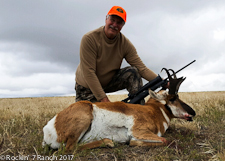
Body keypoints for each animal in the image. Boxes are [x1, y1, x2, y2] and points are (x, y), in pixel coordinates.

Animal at [42, 68, 195, 151]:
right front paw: (131, 142)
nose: (193, 112)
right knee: (69, 148)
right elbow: (165, 140)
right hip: (84, 115)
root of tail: (48, 128)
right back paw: (108, 142)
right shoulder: (138, 131)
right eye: (173, 98)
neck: (153, 110)